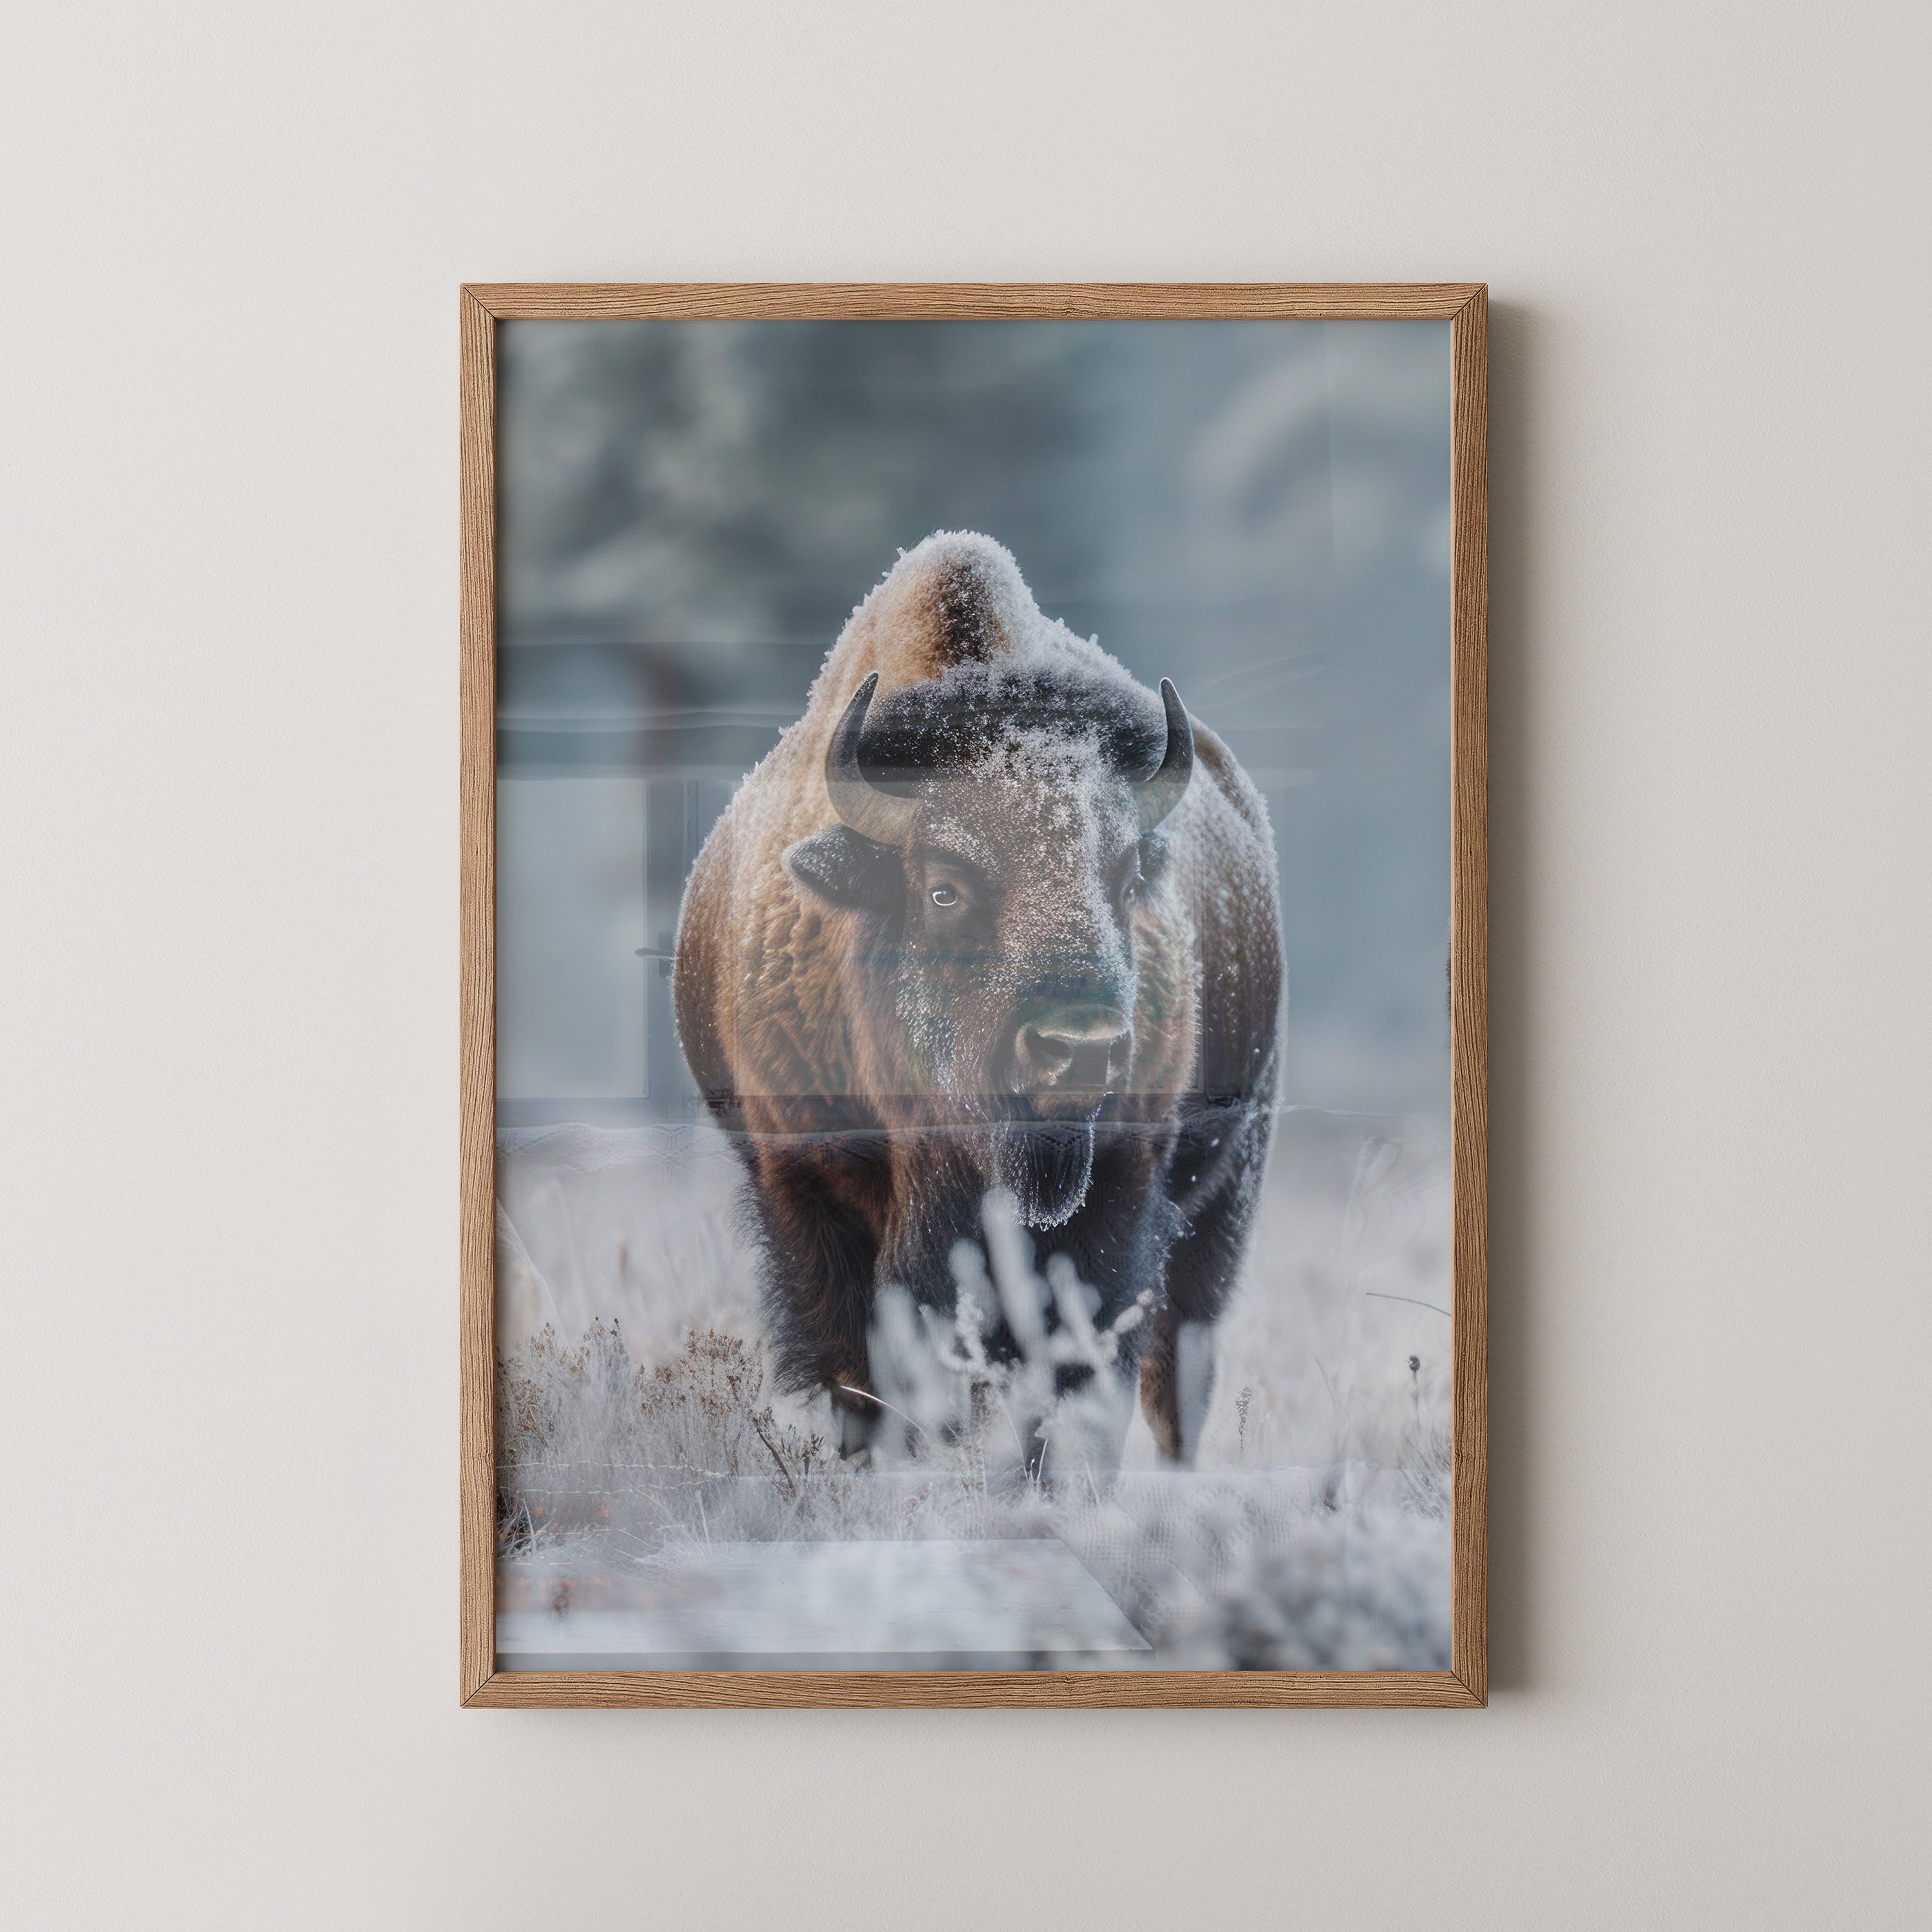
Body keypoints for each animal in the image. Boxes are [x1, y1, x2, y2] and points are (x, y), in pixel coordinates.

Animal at [673, 532, 1282, 1468]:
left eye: (1126, 879)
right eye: (945, 889)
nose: (1081, 1048)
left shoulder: (1120, 1189)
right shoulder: (808, 1190)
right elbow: (864, 1375)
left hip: (1227, 1190)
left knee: (1177, 1376)